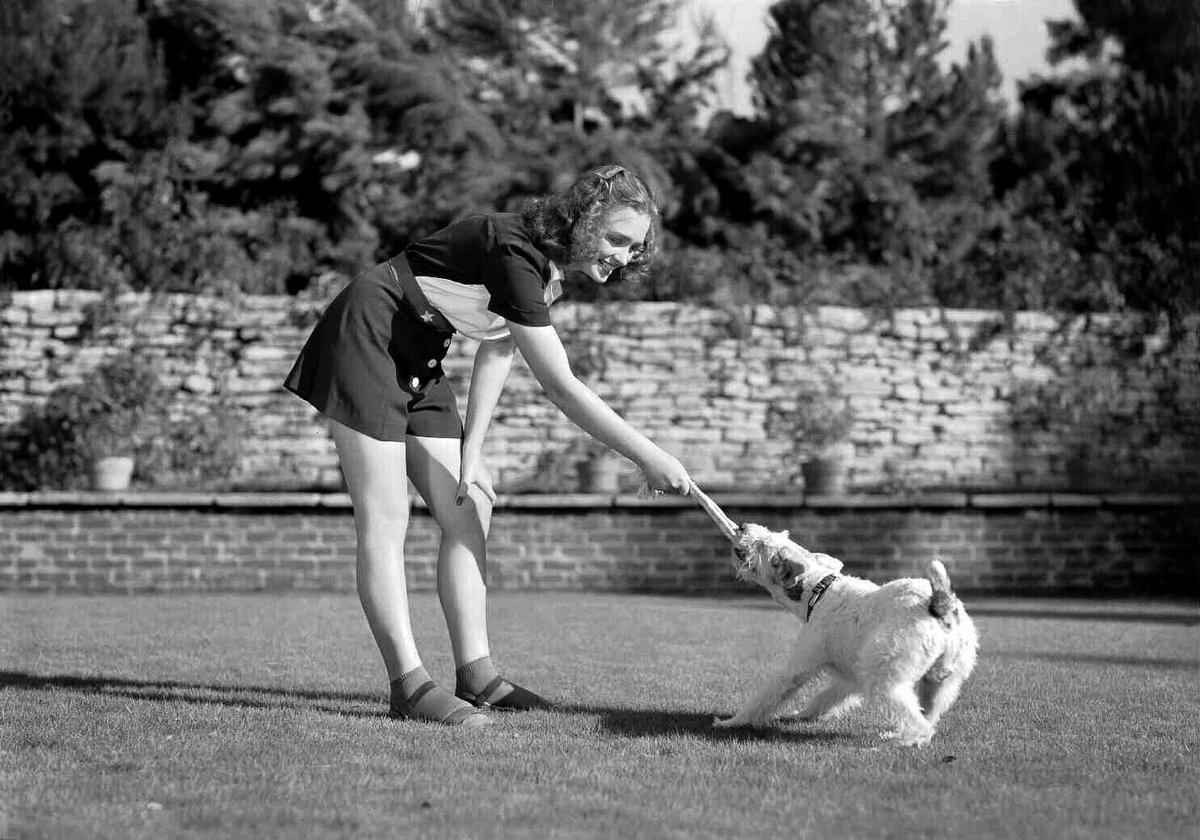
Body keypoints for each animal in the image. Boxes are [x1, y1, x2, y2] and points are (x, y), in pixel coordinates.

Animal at [710, 520, 974, 744]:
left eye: (763, 545)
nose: (742, 526)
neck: (818, 591)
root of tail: (942, 605)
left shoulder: (797, 667)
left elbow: (764, 697)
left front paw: (730, 722)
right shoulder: (849, 679)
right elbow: (823, 699)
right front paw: (800, 716)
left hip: (885, 678)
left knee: (919, 723)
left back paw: (899, 740)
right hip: (941, 682)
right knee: (928, 715)